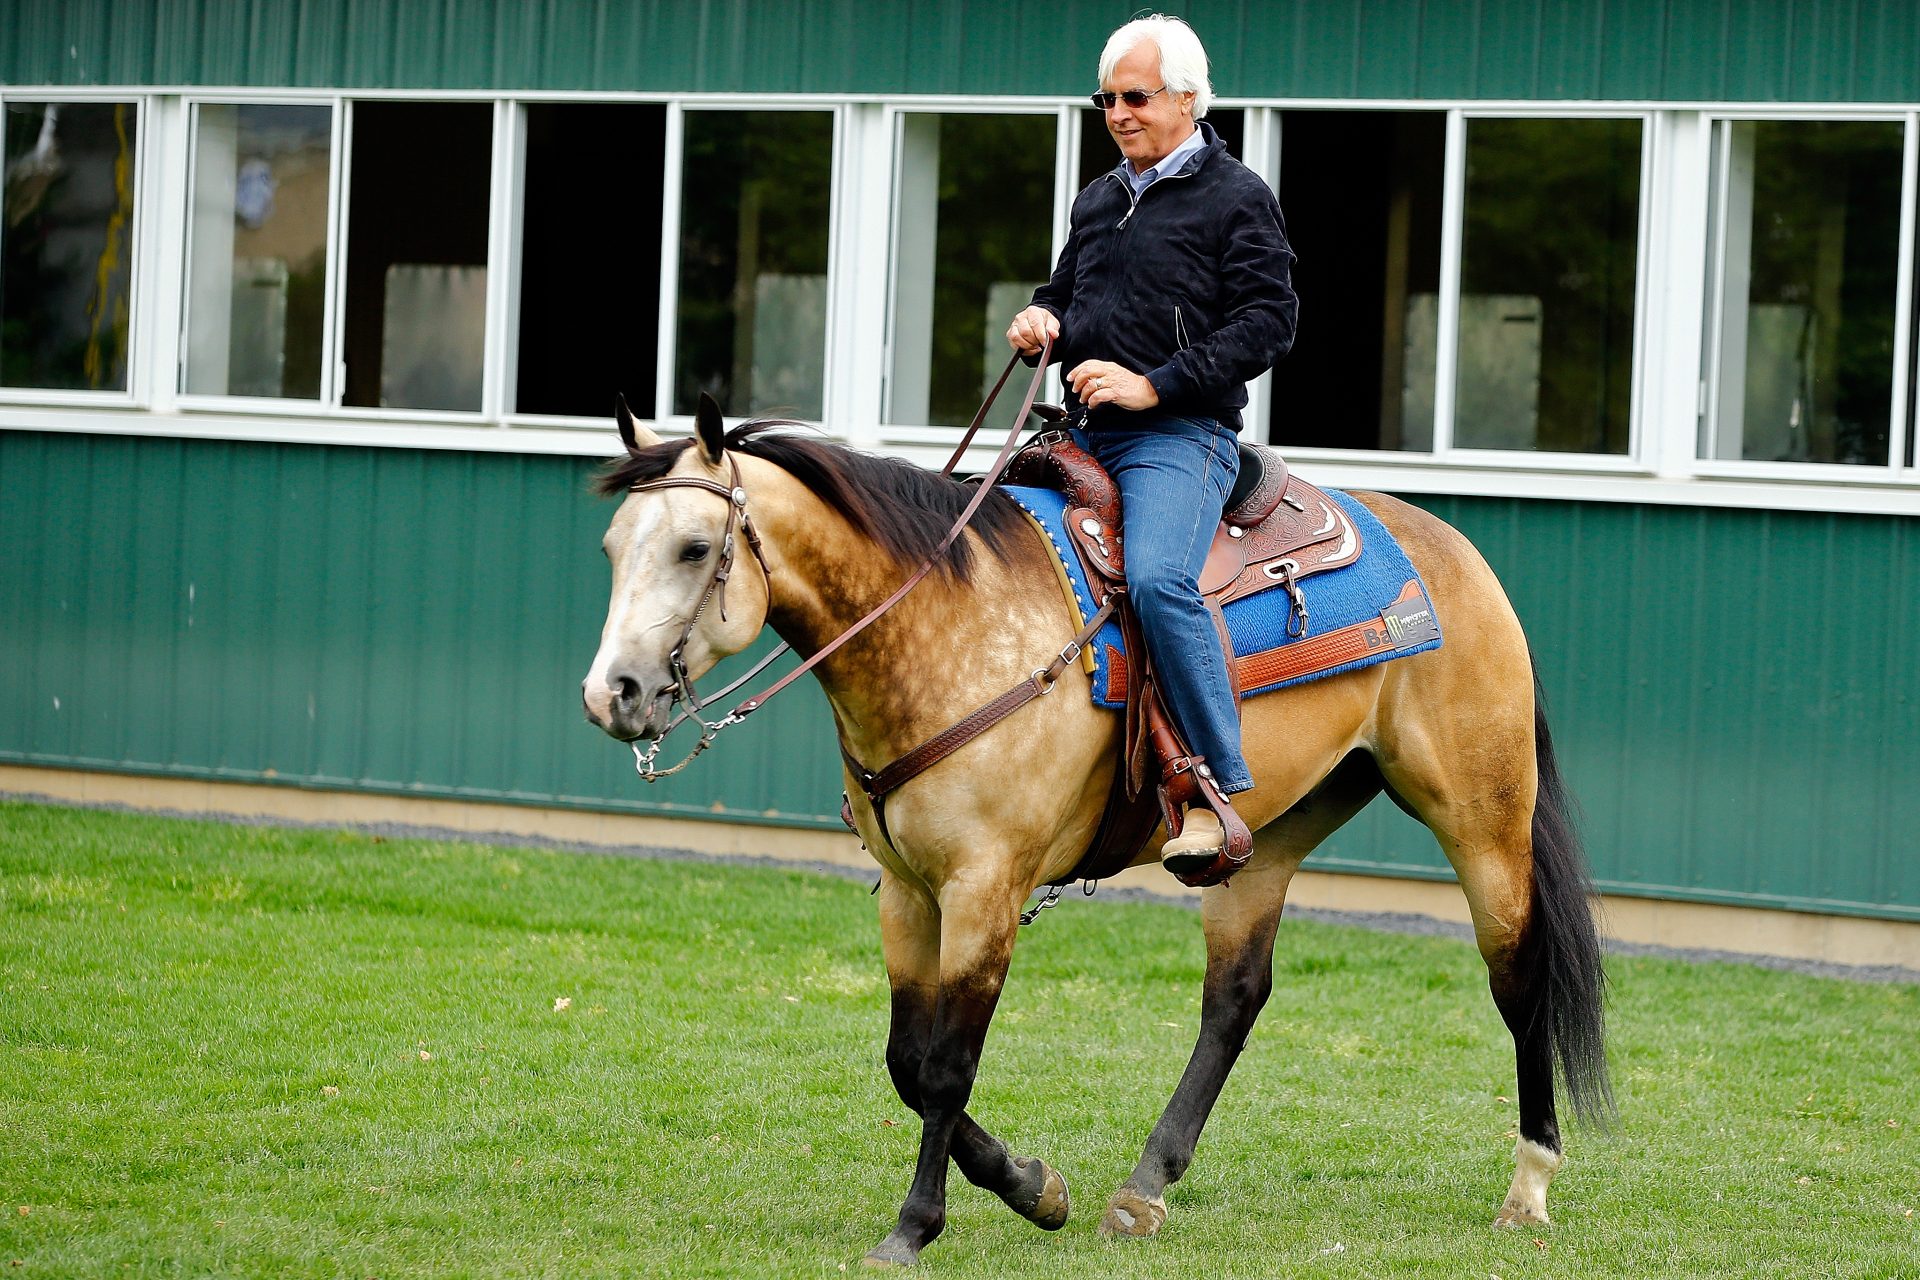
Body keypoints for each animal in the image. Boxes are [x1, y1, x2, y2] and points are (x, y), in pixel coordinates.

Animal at [579, 395, 1605, 1266]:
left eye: (695, 547)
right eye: (613, 547)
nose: (611, 694)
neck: (941, 629)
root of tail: (1456, 554)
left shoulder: (985, 891)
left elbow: (945, 1068)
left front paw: (916, 1228)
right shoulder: (907, 893)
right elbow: (907, 1063)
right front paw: (1035, 1186)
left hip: (1482, 820)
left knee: (1519, 978)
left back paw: (1529, 1188)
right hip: (1262, 843)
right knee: (1234, 999)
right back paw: (1145, 1187)